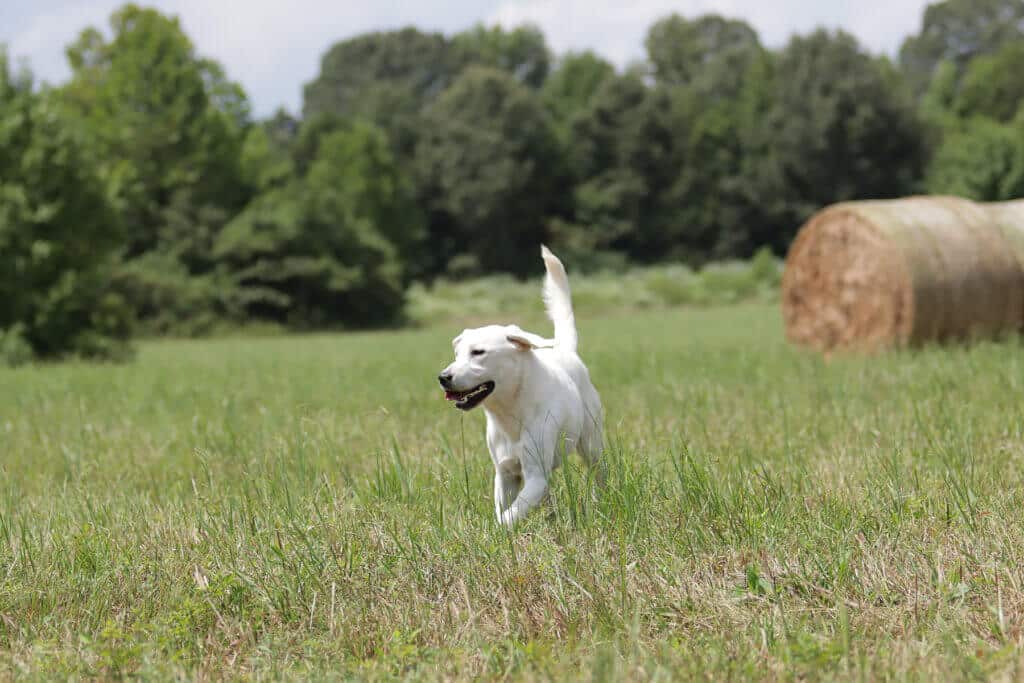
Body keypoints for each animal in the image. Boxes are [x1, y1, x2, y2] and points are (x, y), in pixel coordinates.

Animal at [438, 245, 598, 528]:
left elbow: (508, 517)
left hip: (591, 443)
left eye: (478, 352)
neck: (510, 413)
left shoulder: (535, 476)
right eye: (457, 354)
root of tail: (566, 350)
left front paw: (493, 532)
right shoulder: (506, 474)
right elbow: (505, 508)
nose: (443, 376)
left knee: (600, 472)